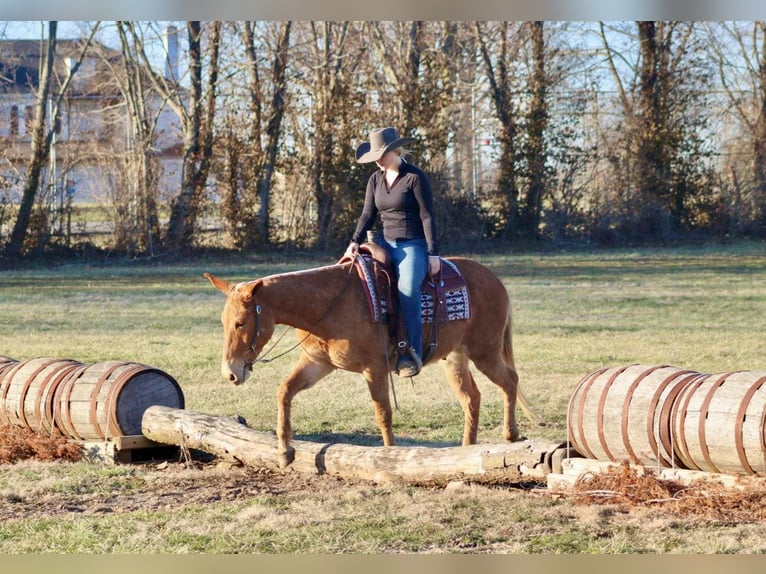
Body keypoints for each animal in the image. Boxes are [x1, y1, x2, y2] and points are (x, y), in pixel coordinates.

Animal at [205, 256, 534, 468]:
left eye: (240, 322)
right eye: (222, 322)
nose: (230, 373)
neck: (328, 304)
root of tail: (494, 279)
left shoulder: (374, 369)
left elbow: (382, 413)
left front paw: (390, 457)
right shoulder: (317, 363)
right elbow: (284, 391)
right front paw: (285, 450)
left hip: (485, 351)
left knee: (510, 381)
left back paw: (510, 434)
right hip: (454, 357)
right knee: (471, 398)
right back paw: (466, 450)